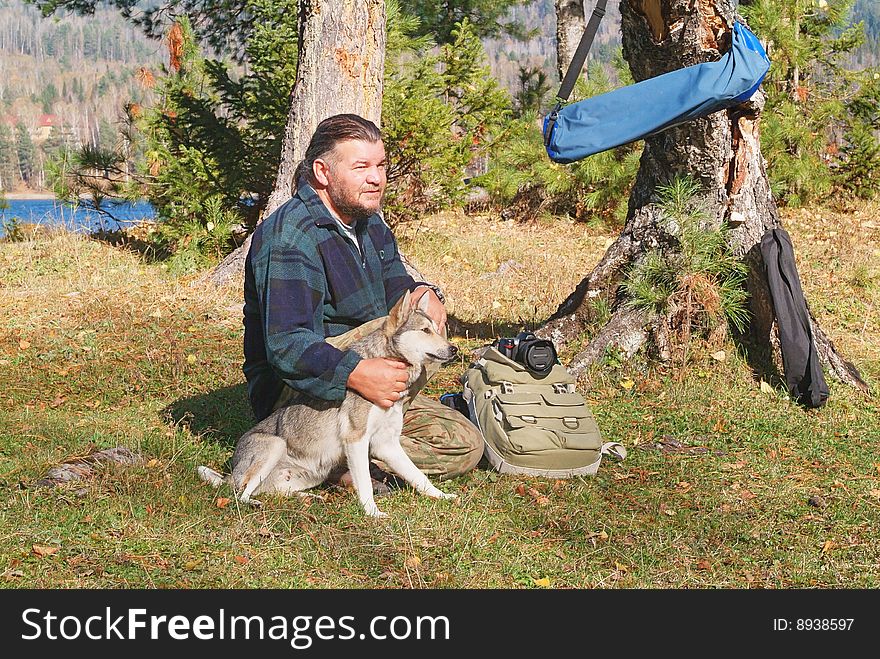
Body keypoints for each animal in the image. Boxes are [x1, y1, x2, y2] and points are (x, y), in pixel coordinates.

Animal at [198, 292, 460, 520]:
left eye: (436, 329)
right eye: (425, 330)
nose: (454, 349)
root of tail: (230, 474)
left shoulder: (387, 445)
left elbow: (418, 476)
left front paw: (442, 496)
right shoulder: (356, 440)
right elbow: (365, 483)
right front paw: (372, 514)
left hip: (307, 476)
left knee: (277, 492)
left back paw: (310, 499)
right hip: (274, 446)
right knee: (240, 493)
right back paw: (253, 503)